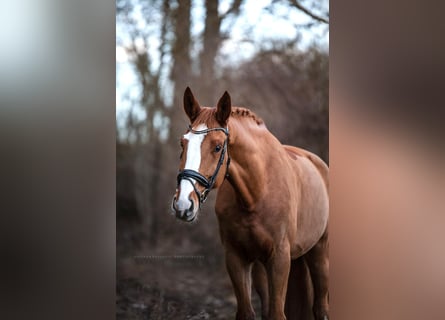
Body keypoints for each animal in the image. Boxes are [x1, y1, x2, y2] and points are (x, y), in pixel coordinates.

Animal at [172, 87, 328, 320]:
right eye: (183, 143)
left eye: (217, 147)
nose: (183, 204)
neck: (257, 193)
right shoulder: (236, 257)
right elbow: (247, 312)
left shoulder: (280, 259)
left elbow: (276, 314)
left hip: (319, 252)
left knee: (320, 307)